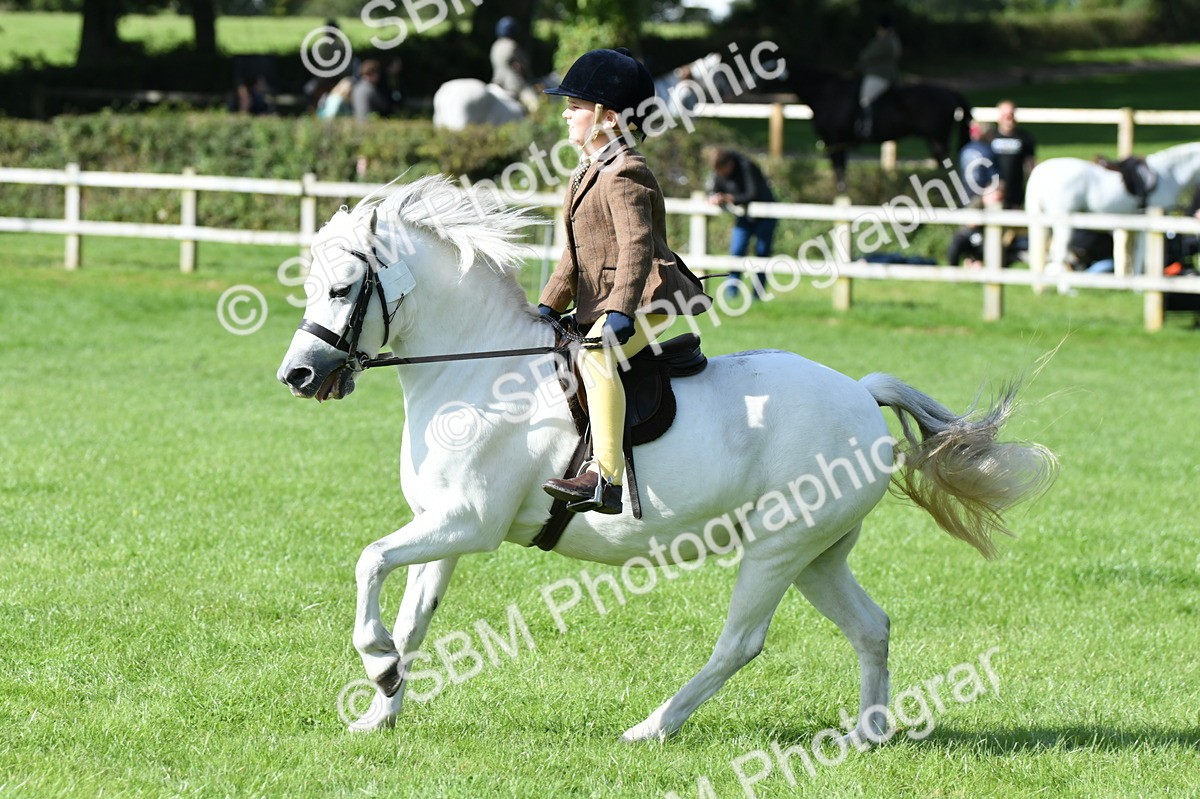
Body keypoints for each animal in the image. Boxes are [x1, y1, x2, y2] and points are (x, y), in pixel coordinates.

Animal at [276, 176, 1057, 741]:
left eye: (342, 289)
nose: (298, 376)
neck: (479, 371)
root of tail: (862, 396)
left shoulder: (469, 523)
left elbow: (369, 561)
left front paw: (375, 664)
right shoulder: (443, 526)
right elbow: (412, 617)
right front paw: (380, 707)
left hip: (778, 546)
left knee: (740, 642)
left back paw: (653, 726)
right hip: (819, 553)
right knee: (871, 626)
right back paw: (869, 734)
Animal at [778, 64, 972, 195]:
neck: (824, 92)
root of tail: (951, 92)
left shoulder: (834, 140)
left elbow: (839, 168)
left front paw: (840, 193)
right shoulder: (838, 142)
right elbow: (840, 168)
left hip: (937, 140)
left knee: (946, 164)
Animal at [1025, 142, 1200, 281]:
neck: (1169, 175)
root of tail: (1039, 171)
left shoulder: (1134, 224)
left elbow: (1131, 254)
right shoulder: (1148, 224)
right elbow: (1142, 254)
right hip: (1063, 222)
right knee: (1059, 254)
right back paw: (1067, 289)